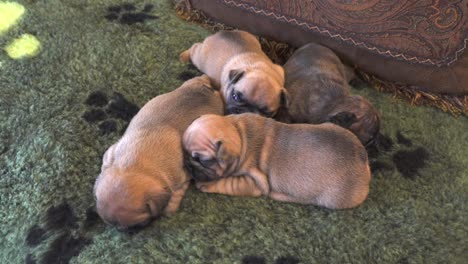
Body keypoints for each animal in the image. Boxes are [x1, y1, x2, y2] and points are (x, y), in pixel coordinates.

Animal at [93, 75, 225, 229]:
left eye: (139, 224)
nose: (127, 232)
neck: (134, 163)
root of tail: (205, 88)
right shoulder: (111, 152)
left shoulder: (181, 177)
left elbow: (175, 194)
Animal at [185, 114, 372, 209]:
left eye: (203, 160)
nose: (188, 166)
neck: (238, 132)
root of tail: (363, 158)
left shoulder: (254, 182)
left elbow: (227, 183)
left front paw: (206, 185)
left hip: (334, 199)